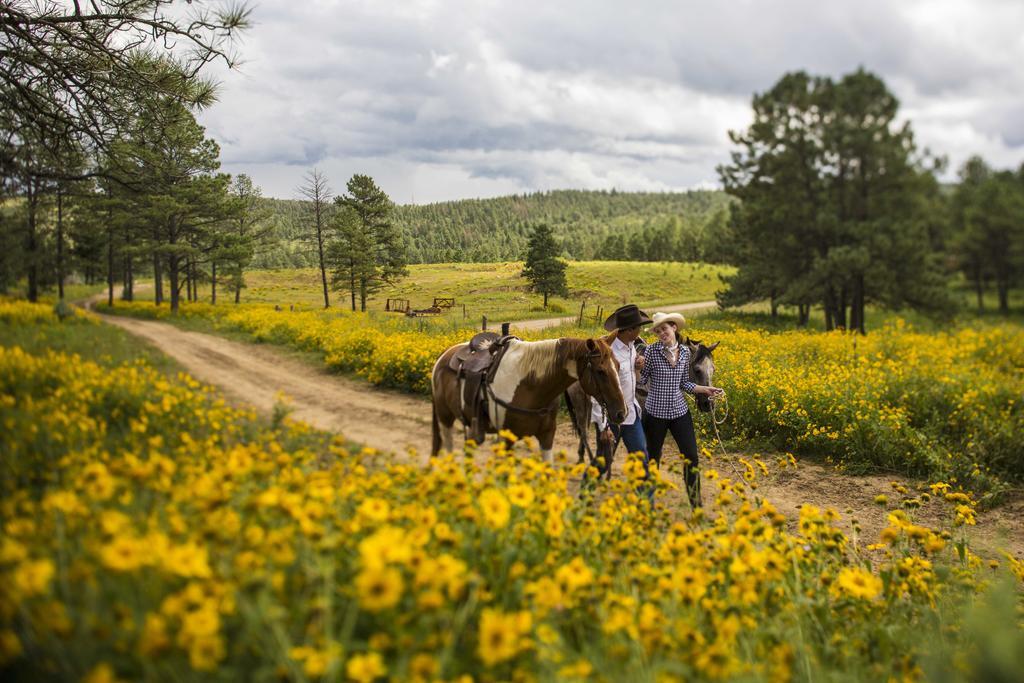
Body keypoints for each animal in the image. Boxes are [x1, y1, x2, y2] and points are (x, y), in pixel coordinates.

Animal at [430, 335, 626, 458]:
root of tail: (444, 355)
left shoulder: (547, 436)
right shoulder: (506, 440)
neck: (530, 385)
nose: (621, 413)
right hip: (445, 417)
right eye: (601, 371)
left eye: (618, 366)